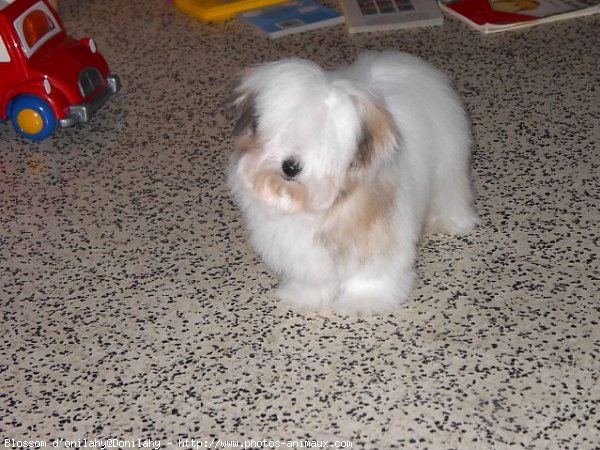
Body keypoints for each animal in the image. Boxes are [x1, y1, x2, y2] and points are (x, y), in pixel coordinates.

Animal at [227, 51, 476, 314]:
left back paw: (451, 221)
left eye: (323, 141)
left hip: (448, 163)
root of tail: (403, 60)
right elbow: (311, 275)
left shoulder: (379, 234)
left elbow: (371, 274)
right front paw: (305, 295)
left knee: (449, 193)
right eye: (282, 131)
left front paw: (364, 300)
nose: (290, 166)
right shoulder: (303, 249)